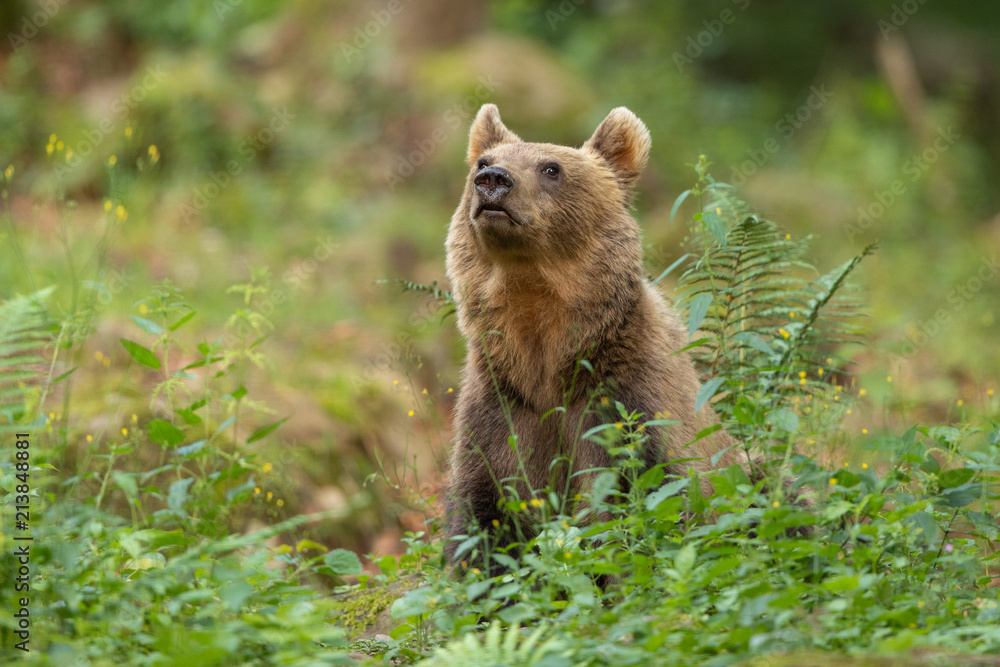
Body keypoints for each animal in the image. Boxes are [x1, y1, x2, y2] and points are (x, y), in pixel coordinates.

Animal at [443, 104, 743, 562]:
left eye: (551, 167)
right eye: (483, 161)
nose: (493, 180)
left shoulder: (622, 399)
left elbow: (645, 500)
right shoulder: (502, 403)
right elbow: (486, 512)